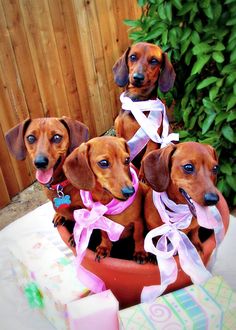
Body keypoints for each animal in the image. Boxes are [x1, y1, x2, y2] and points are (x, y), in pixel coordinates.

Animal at [113, 41, 176, 169]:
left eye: (154, 61)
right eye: (133, 57)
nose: (138, 77)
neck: (137, 103)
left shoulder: (152, 141)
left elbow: (145, 159)